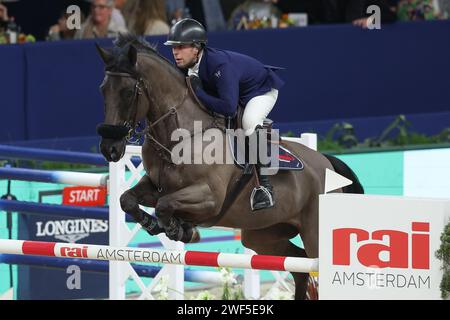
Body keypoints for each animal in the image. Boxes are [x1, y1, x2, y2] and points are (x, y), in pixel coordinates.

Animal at [96, 35, 366, 300]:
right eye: (103, 90)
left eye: (128, 93)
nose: (109, 149)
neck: (179, 136)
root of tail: (326, 162)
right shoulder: (155, 186)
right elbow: (127, 199)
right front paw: (157, 225)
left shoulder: (209, 198)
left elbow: (165, 205)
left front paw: (181, 230)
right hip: (263, 234)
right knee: (298, 267)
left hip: (314, 234)